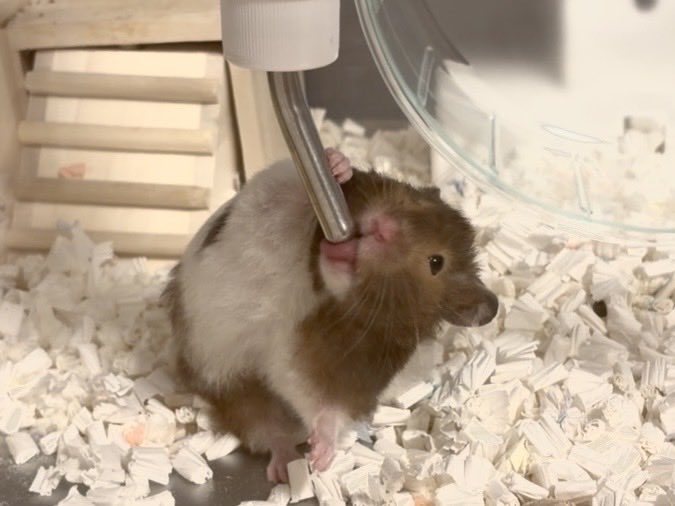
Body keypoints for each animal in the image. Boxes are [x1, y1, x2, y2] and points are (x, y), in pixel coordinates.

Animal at [162, 148, 498, 482]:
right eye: (415, 201)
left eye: (435, 262)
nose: (383, 228)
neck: (315, 287)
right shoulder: (271, 198)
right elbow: (290, 186)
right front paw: (336, 165)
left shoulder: (338, 371)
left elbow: (329, 410)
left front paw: (321, 458)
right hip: (233, 385)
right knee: (265, 431)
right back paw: (285, 469)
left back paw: (294, 467)